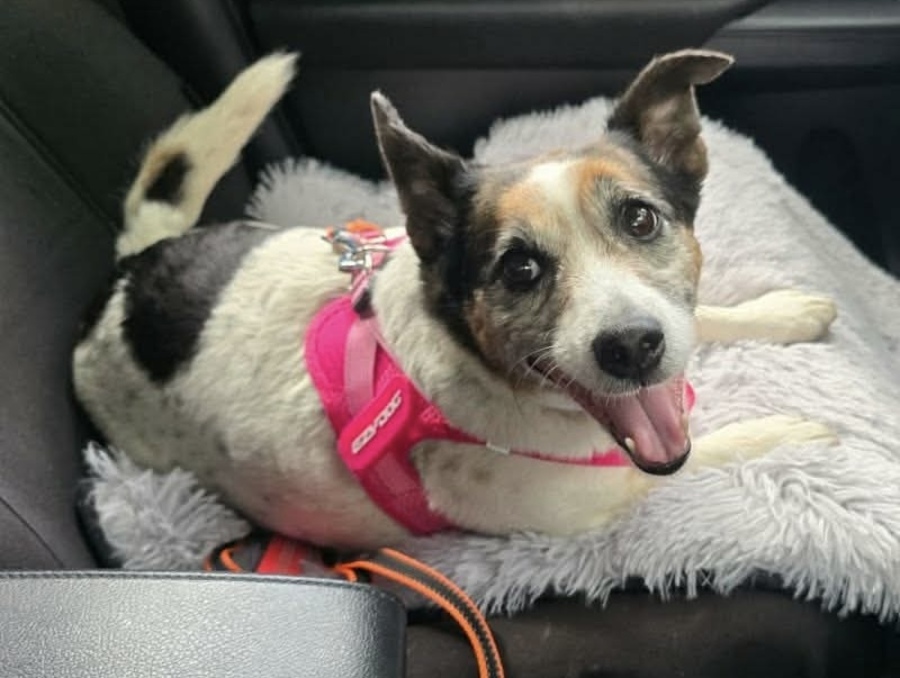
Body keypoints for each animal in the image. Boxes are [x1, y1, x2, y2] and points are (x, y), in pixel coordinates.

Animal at [74, 50, 837, 549]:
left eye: (641, 219)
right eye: (519, 268)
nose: (633, 348)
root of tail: (130, 271)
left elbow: (706, 314)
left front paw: (785, 312)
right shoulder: (591, 501)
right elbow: (710, 453)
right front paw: (791, 435)